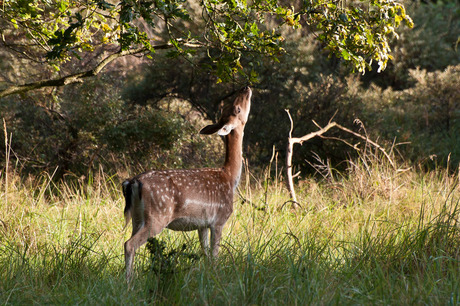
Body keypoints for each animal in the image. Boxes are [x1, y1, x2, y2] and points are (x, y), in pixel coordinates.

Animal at [122, 86, 252, 280]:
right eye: (236, 108)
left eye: (229, 106)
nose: (246, 87)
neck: (230, 178)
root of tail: (132, 183)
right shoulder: (219, 220)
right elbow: (214, 255)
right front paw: (215, 276)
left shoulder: (202, 224)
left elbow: (205, 253)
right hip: (157, 216)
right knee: (129, 244)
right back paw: (128, 281)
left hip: (137, 218)